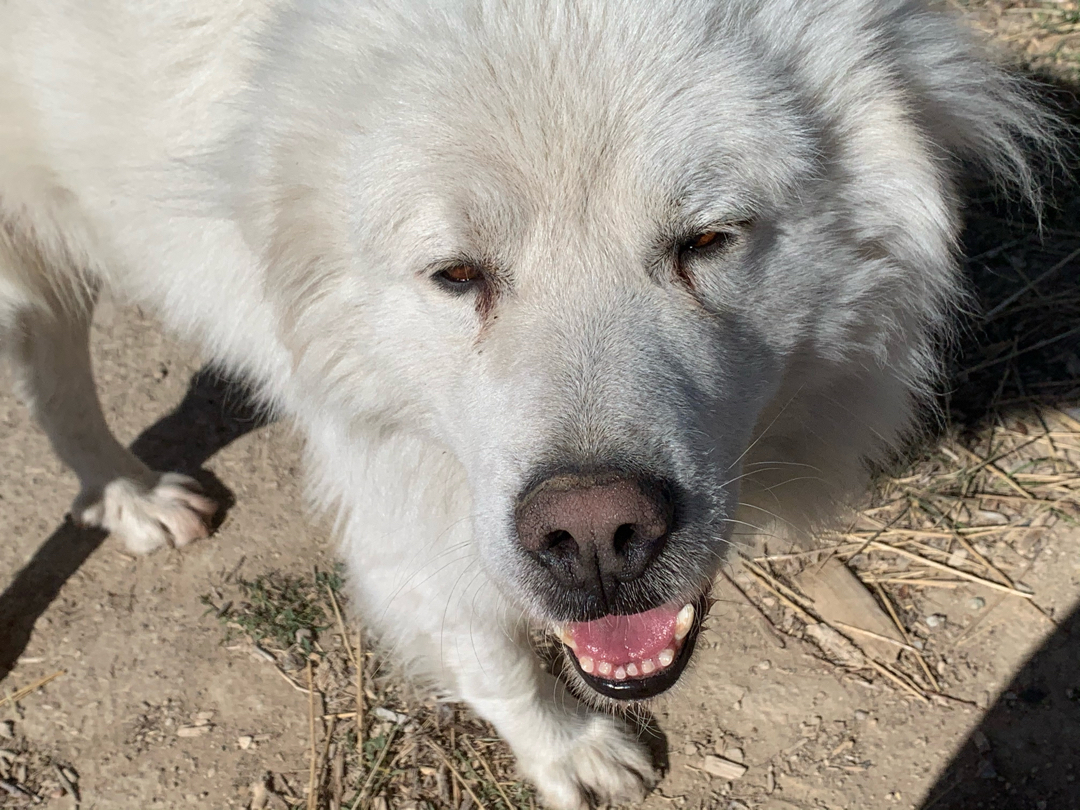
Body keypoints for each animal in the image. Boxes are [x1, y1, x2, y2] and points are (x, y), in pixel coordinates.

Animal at [0, 1, 1045, 807]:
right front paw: (568, 750)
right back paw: (127, 495)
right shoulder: (399, 487)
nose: (595, 538)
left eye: (707, 240)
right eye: (457, 274)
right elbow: (487, 646)